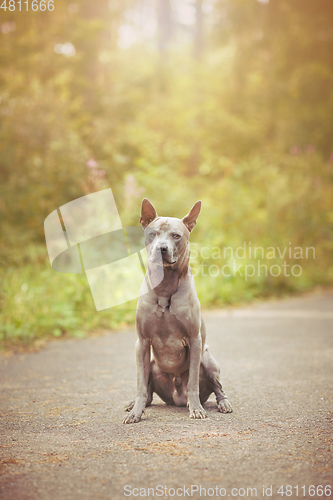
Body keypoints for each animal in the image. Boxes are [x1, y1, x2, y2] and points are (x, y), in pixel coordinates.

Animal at [122, 197, 231, 424]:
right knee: (148, 393)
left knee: (217, 387)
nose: (161, 248)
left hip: (208, 360)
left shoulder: (195, 340)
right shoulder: (142, 343)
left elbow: (192, 382)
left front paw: (196, 408)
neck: (165, 287)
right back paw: (135, 404)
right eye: (152, 234)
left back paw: (222, 403)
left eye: (176, 235)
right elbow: (141, 385)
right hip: (151, 362)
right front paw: (136, 411)